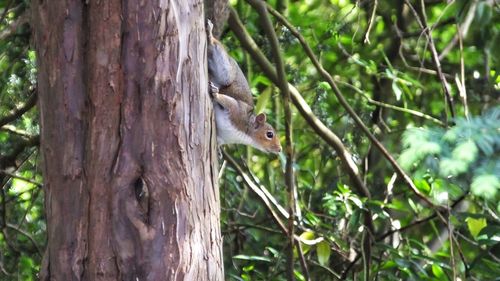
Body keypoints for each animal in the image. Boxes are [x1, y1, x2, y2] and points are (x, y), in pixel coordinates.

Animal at [206, 21, 284, 154]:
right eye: (269, 134)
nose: (279, 149)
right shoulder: (237, 111)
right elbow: (228, 101)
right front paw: (215, 93)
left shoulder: (224, 136)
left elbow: (219, 141)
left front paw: (219, 150)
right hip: (226, 72)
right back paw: (210, 35)